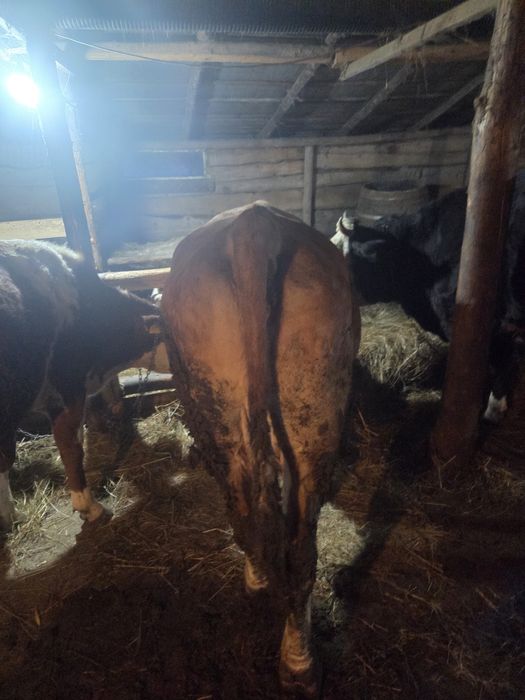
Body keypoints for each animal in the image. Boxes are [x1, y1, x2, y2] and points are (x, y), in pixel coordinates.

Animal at [161, 202, 360, 697]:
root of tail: (254, 226)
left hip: (220, 407)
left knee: (243, 505)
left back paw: (257, 581)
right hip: (313, 410)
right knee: (300, 550)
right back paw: (299, 663)